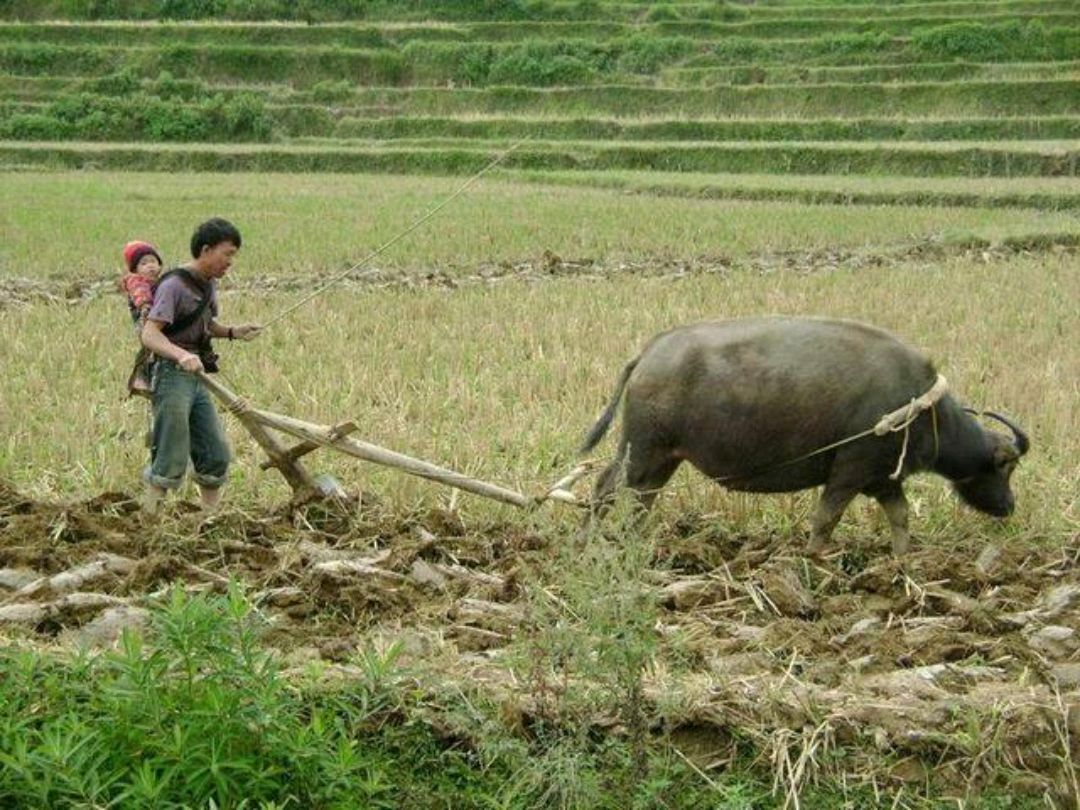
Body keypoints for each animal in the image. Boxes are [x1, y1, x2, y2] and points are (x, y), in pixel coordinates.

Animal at [583, 317, 1028, 557]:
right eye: (1006, 465)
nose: (1009, 506)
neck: (919, 408)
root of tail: (650, 352)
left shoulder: (884, 481)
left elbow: (900, 518)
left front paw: (903, 560)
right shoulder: (850, 472)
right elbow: (825, 519)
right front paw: (814, 558)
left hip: (663, 457)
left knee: (641, 498)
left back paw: (632, 542)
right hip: (642, 449)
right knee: (606, 487)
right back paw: (584, 541)